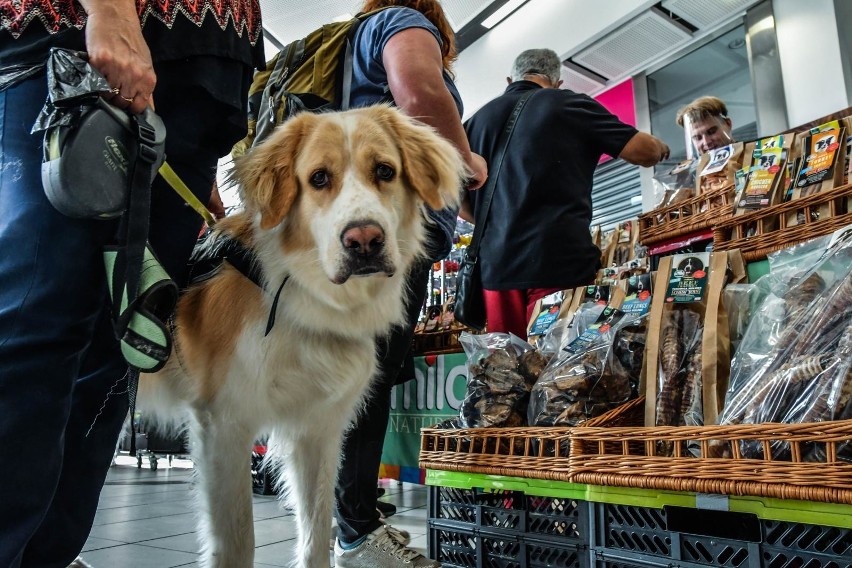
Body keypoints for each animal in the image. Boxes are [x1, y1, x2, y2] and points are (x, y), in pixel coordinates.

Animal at [141, 104, 466, 564]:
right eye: (319, 179)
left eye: (385, 171)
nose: (364, 240)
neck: (301, 296)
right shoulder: (224, 425)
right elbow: (238, 541)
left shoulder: (317, 430)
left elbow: (315, 532)